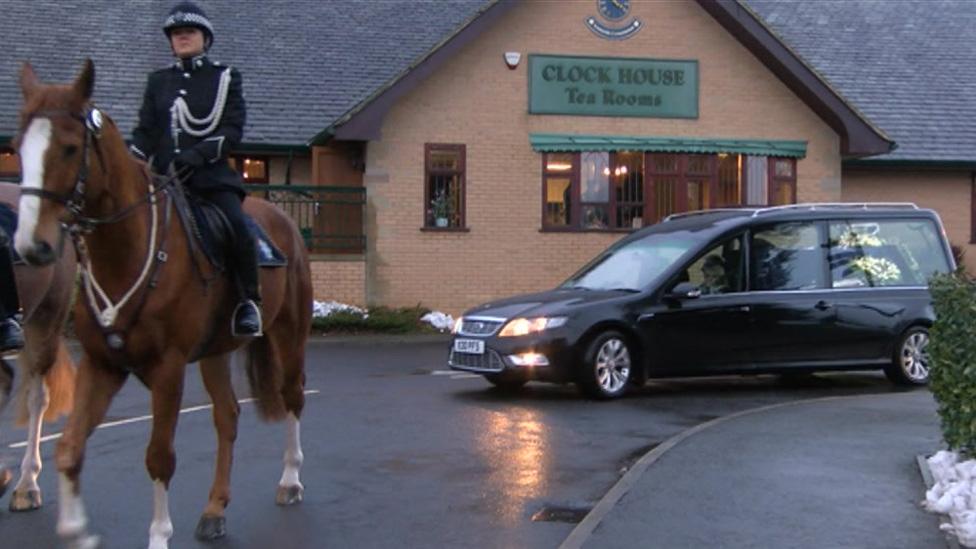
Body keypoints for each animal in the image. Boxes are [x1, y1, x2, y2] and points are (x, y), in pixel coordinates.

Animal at [16, 61, 312, 548]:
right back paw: (214, 509)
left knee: (292, 398)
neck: (127, 251)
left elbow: (159, 456)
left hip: (289, 335)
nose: (31, 247)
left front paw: (157, 535)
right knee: (227, 417)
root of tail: (281, 218)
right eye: (18, 148)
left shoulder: (168, 369)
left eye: (70, 148)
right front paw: (76, 529)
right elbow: (69, 447)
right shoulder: (102, 364)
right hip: (215, 352)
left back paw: (289, 480)